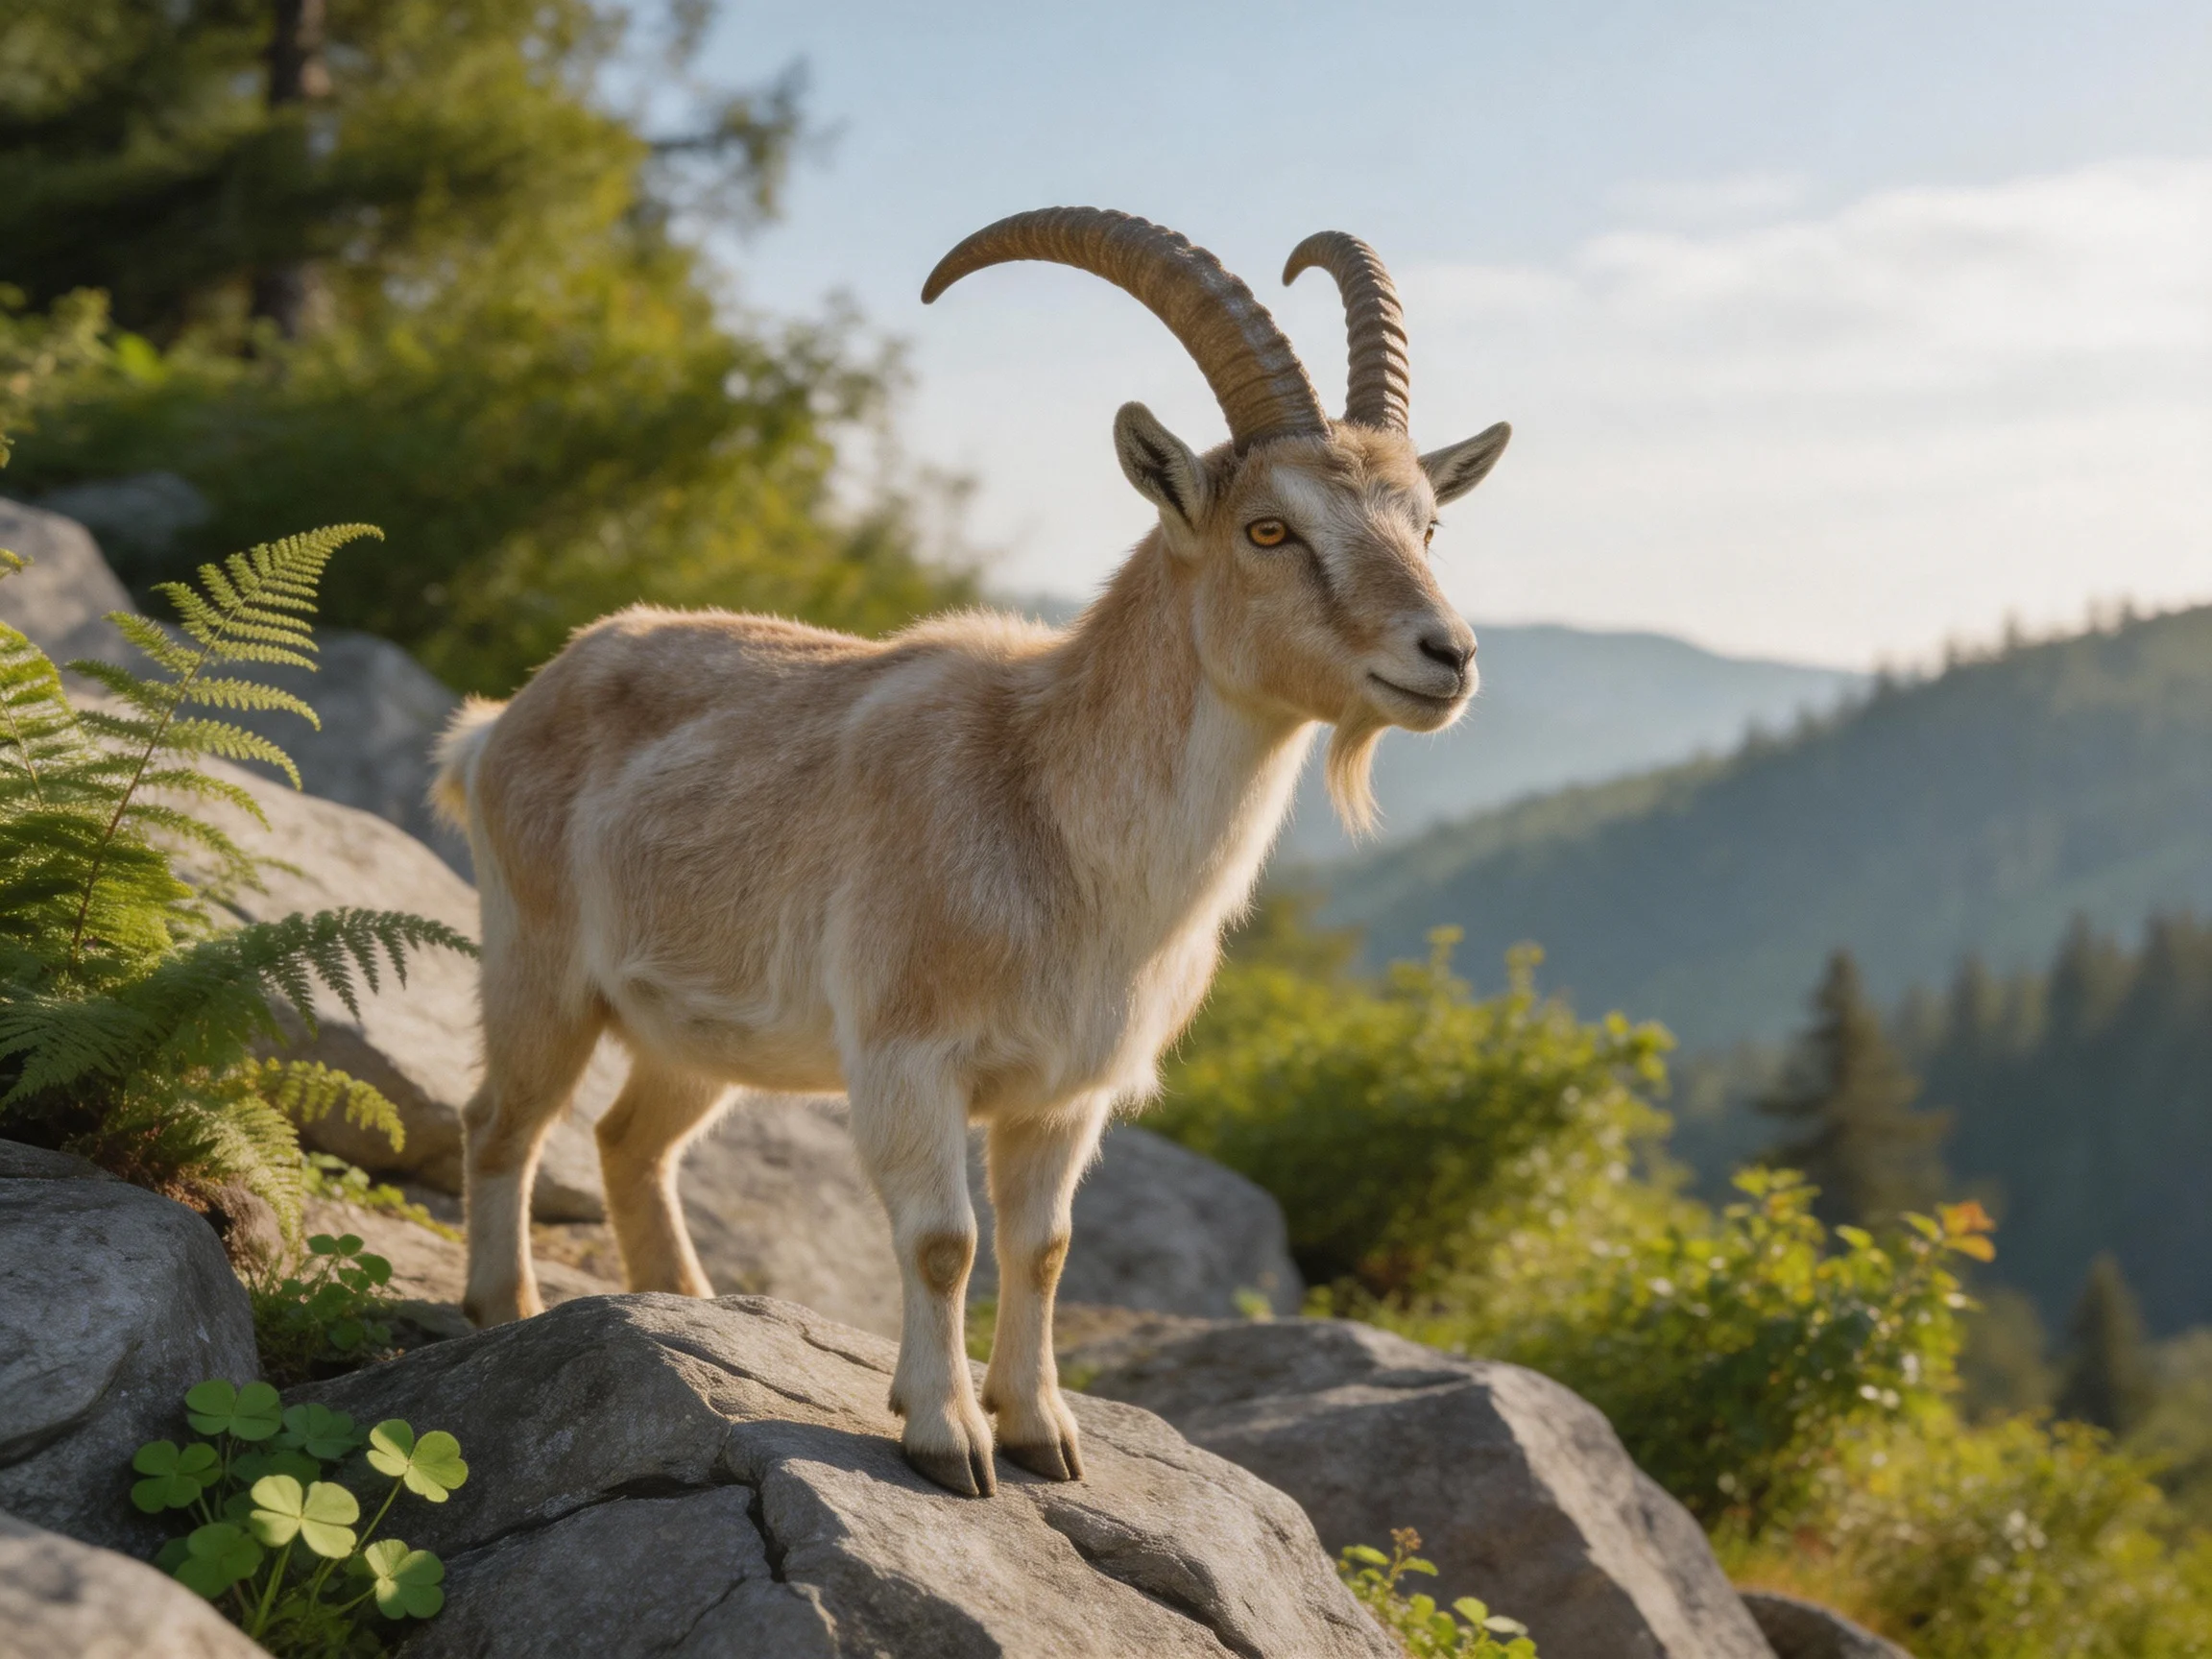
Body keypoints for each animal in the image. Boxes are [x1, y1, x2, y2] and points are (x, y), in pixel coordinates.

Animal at [431, 208, 1511, 1496]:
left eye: (1430, 523)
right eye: (1270, 527)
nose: (1446, 656)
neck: (1053, 815)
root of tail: (502, 721)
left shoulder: (1065, 1094)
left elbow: (1043, 1246)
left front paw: (1043, 1430)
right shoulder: (911, 1056)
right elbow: (944, 1240)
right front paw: (947, 1437)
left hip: (695, 1030)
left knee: (628, 1138)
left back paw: (686, 1302)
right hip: (539, 966)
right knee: (500, 1120)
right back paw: (502, 1307)